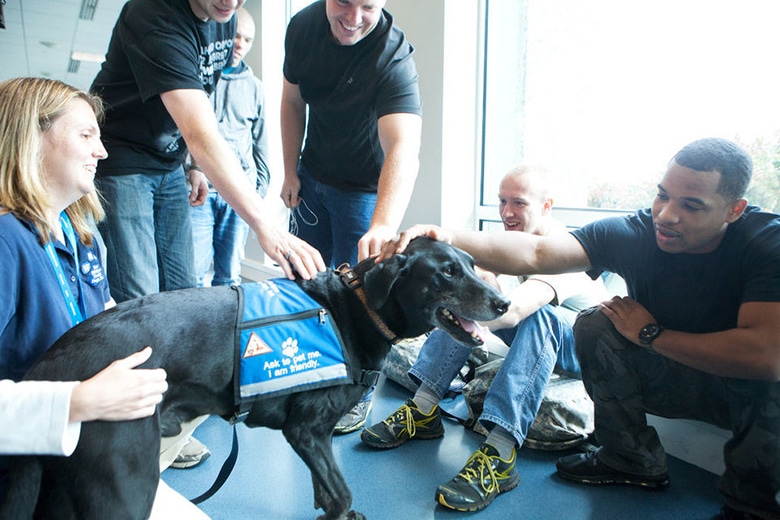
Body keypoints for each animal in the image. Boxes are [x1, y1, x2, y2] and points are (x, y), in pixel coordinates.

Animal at [0, 238, 508, 516]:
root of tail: (53, 368)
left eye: (471, 265)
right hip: (125, 483)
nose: (503, 302)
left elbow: (327, 494)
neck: (355, 309)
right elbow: (340, 493)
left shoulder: (313, 441)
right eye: (446, 273)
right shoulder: (306, 430)